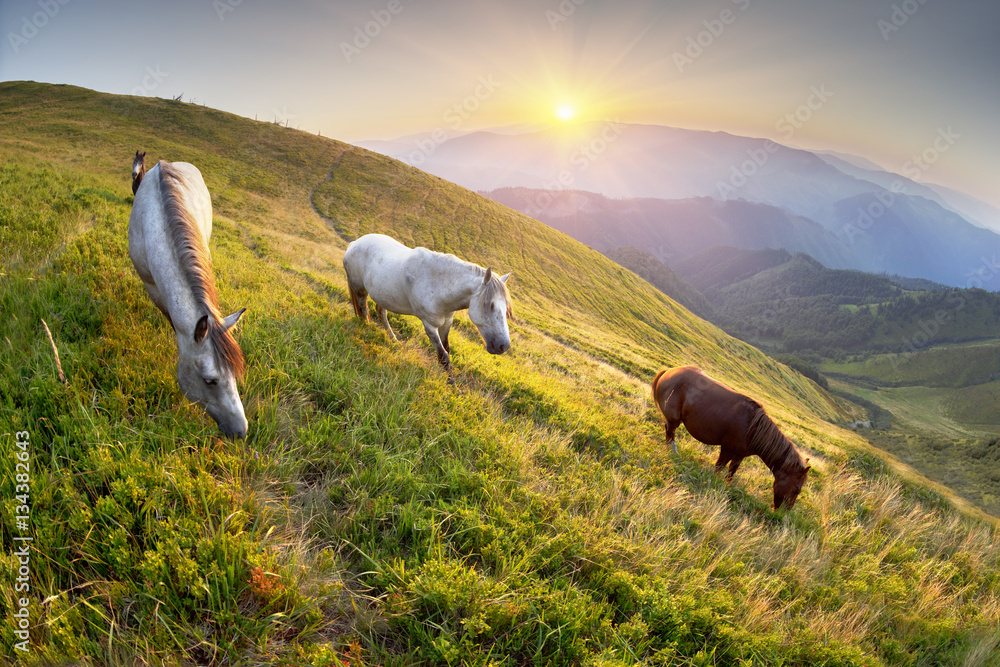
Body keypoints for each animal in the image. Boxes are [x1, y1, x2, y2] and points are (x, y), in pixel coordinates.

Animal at [343, 233, 512, 381]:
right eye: (490, 305)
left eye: (506, 308)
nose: (503, 346)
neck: (438, 285)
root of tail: (354, 243)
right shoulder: (430, 326)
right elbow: (443, 356)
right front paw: (452, 386)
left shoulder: (446, 323)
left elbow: (447, 350)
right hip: (360, 289)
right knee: (363, 308)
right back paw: (366, 327)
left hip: (384, 295)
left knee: (381, 312)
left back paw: (393, 339)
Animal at [652, 366, 810, 510]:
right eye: (797, 490)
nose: (785, 512)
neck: (752, 427)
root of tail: (669, 371)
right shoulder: (726, 449)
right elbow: (719, 468)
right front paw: (713, 481)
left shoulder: (739, 455)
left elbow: (731, 472)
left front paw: (727, 487)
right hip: (674, 420)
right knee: (670, 433)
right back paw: (672, 452)